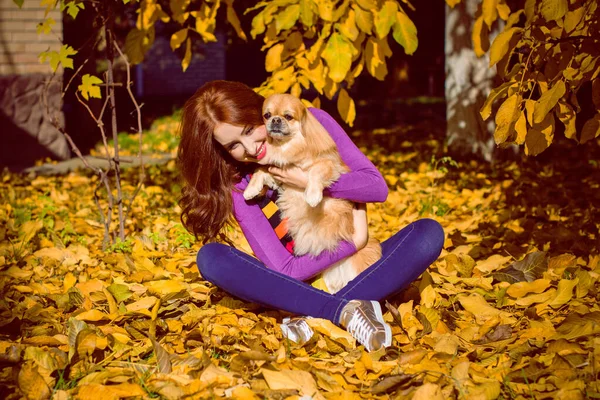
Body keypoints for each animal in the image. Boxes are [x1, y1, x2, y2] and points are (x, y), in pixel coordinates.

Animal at [243, 94, 380, 294]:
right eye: (267, 115)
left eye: (288, 116)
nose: (275, 120)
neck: (287, 147)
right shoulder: (278, 172)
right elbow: (261, 170)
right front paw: (250, 190)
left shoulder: (328, 165)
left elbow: (315, 171)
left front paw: (313, 195)